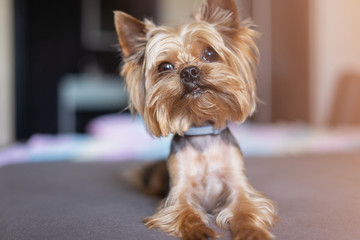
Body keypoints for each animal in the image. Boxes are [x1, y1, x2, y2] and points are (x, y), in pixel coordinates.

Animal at [114, 0, 278, 238]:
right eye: (165, 67)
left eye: (209, 54)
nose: (189, 71)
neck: (202, 132)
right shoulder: (178, 192)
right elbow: (185, 212)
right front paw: (199, 231)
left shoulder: (239, 187)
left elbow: (246, 210)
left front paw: (252, 232)